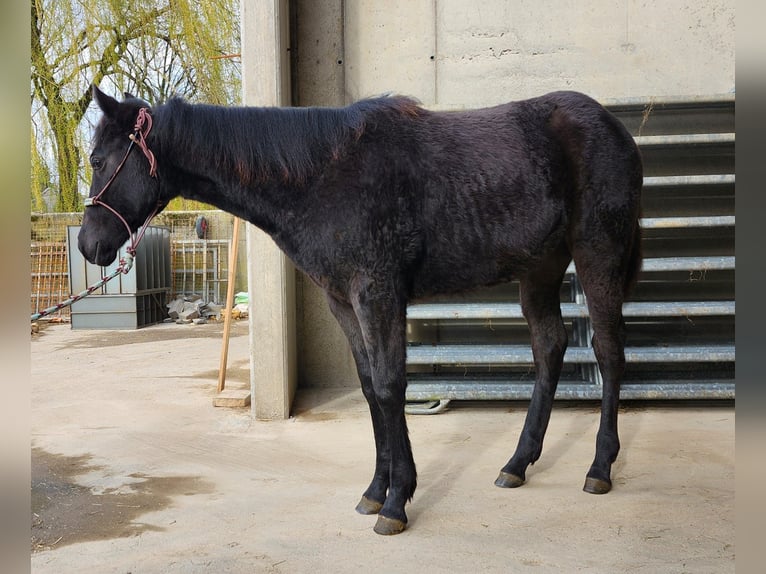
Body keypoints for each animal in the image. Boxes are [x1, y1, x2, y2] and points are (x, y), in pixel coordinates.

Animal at [79, 85, 642, 535]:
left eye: (99, 161)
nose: (88, 246)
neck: (320, 177)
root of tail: (615, 128)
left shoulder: (377, 293)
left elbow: (392, 386)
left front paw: (396, 503)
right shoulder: (343, 303)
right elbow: (371, 388)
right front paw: (375, 491)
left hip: (597, 254)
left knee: (609, 353)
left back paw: (599, 468)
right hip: (541, 270)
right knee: (550, 348)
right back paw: (518, 464)